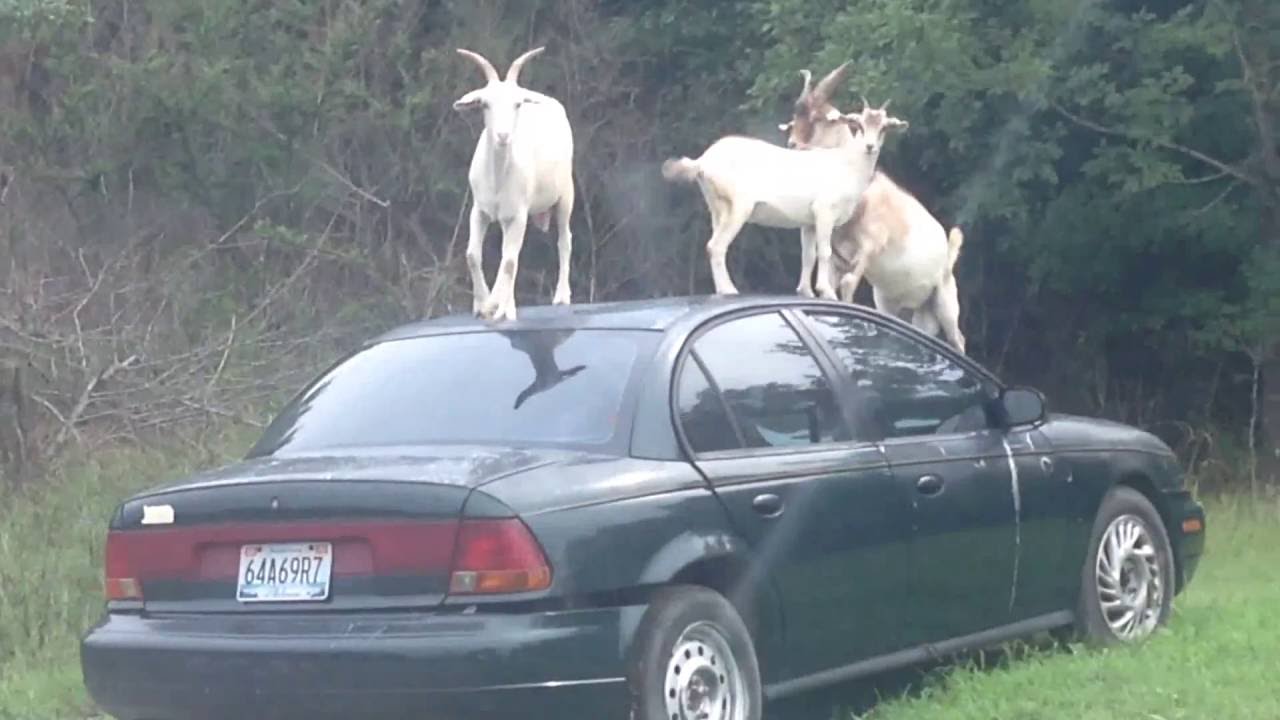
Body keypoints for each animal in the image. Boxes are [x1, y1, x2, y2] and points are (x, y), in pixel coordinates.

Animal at [454, 46, 575, 322]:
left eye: (517, 104)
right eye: (484, 104)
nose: (503, 136)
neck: (498, 177)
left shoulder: (518, 215)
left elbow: (508, 261)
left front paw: (496, 307)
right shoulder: (480, 210)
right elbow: (473, 255)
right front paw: (482, 305)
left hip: (565, 195)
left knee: (564, 239)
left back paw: (562, 296)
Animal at [661, 63, 905, 300]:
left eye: (883, 127)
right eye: (859, 125)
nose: (870, 147)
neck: (845, 162)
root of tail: (703, 161)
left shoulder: (808, 223)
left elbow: (809, 255)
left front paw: (806, 292)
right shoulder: (825, 214)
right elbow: (824, 252)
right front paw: (826, 292)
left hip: (717, 210)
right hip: (738, 208)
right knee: (716, 246)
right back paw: (729, 290)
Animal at [779, 63, 966, 353]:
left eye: (820, 117)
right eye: (795, 115)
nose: (793, 145)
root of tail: (948, 252)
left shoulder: (869, 247)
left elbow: (848, 285)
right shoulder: (839, 258)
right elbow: (829, 287)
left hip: (945, 303)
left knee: (958, 339)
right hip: (900, 306)